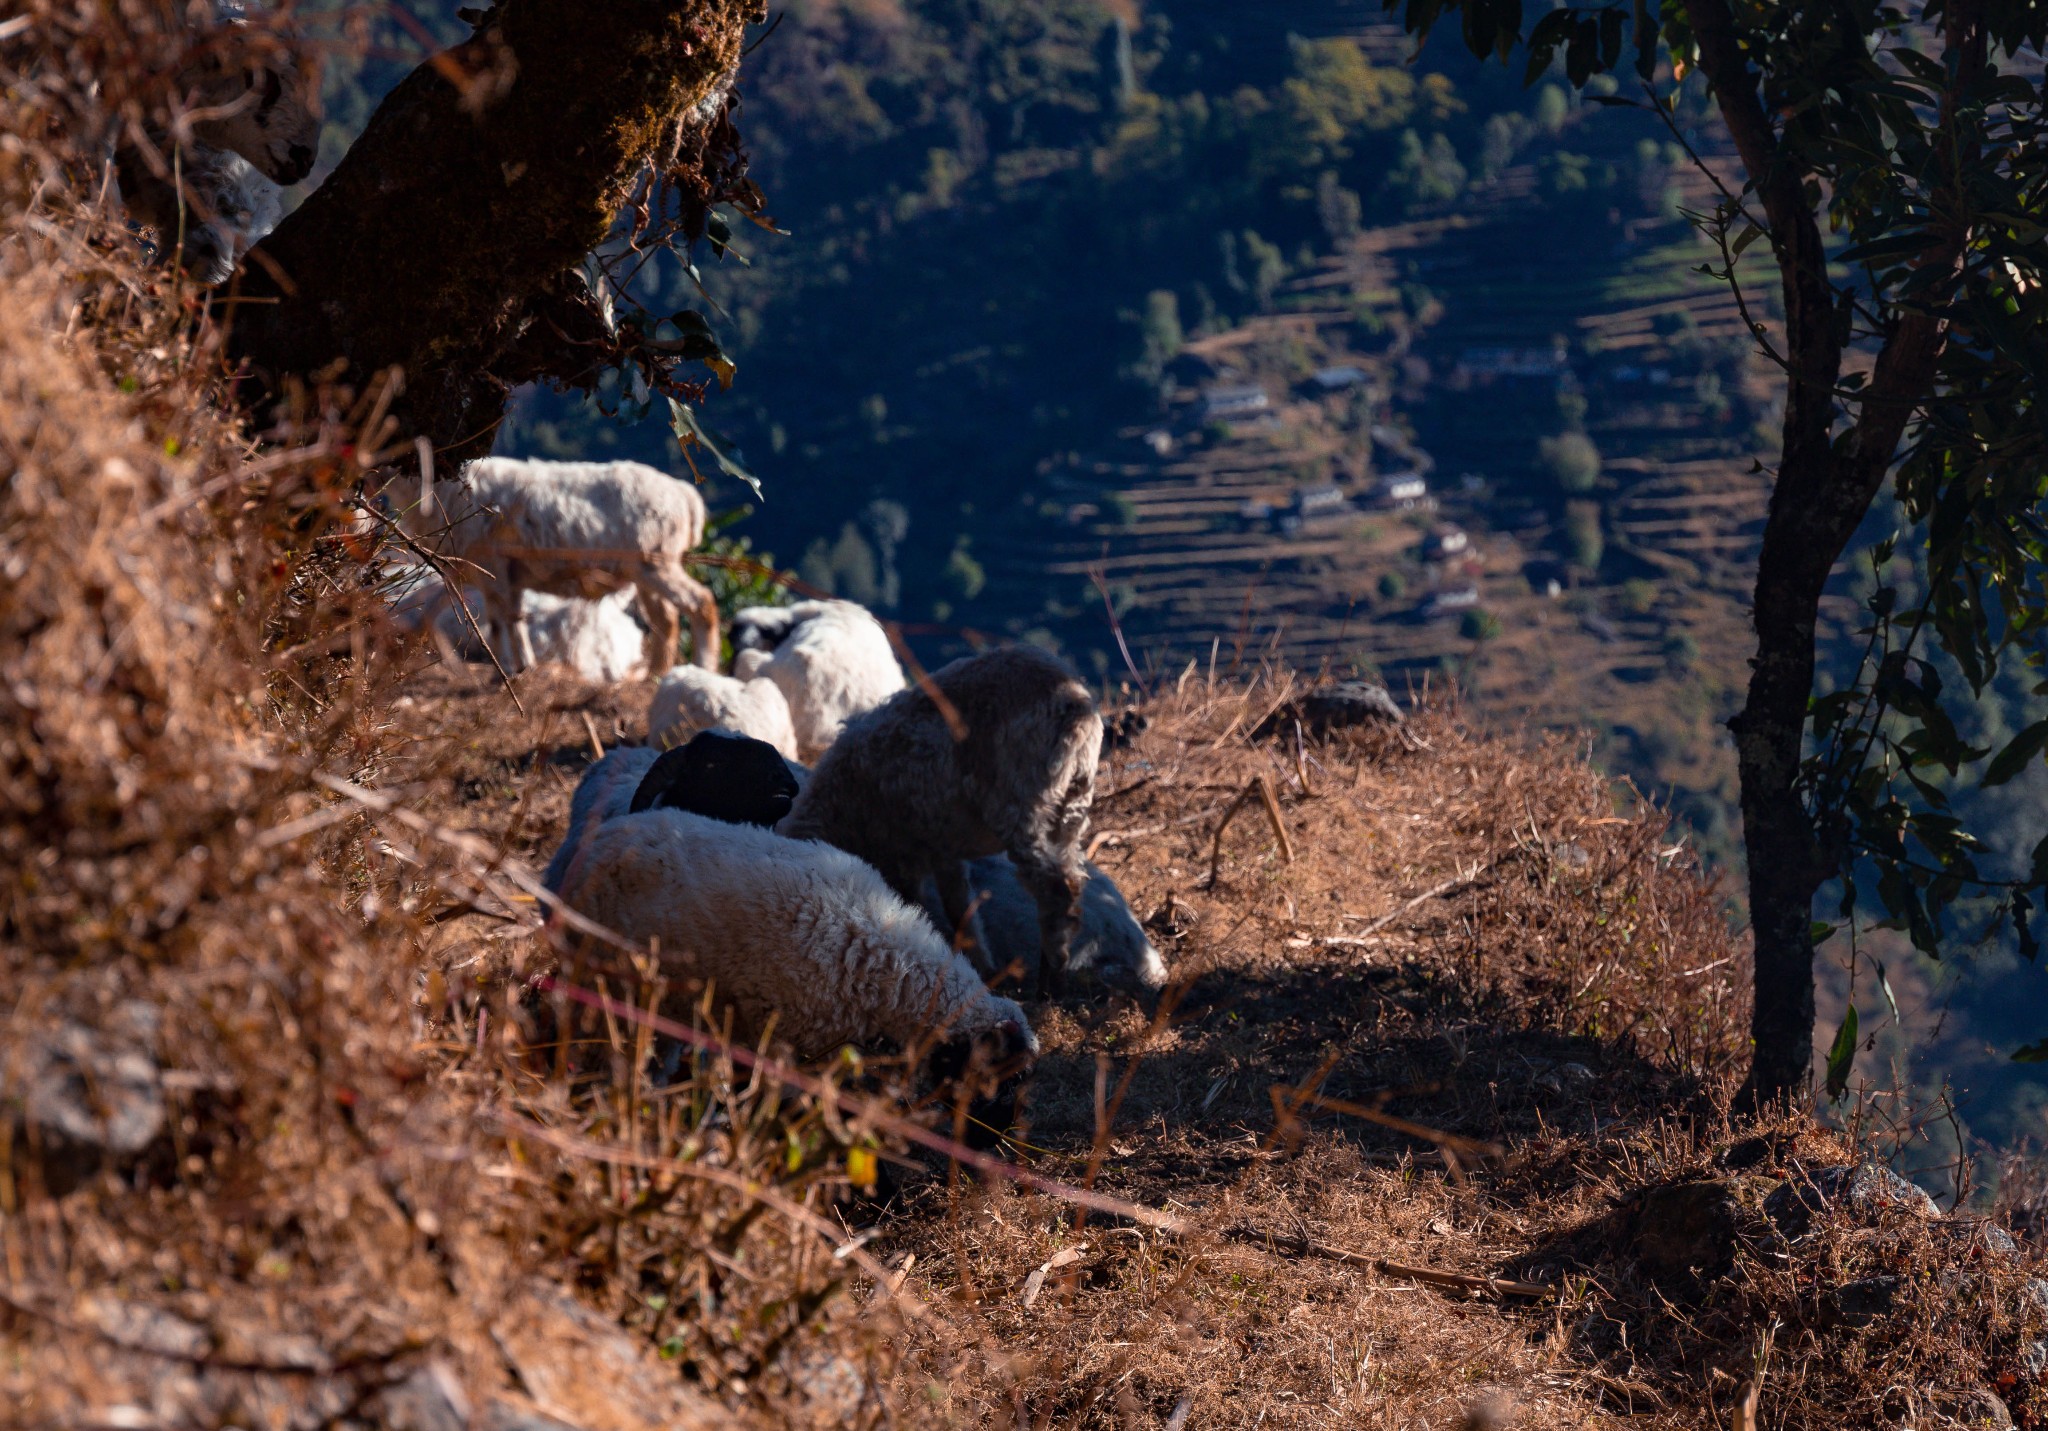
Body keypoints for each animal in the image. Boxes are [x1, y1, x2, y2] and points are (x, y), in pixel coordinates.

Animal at [387, 462, 724, 679]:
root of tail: (686, 496)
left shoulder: (492, 566)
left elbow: (497, 623)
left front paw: (506, 670)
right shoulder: (510, 574)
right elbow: (515, 619)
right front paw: (525, 666)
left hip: (656, 561)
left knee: (701, 604)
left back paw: (703, 667)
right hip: (644, 570)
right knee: (666, 620)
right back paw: (654, 675)